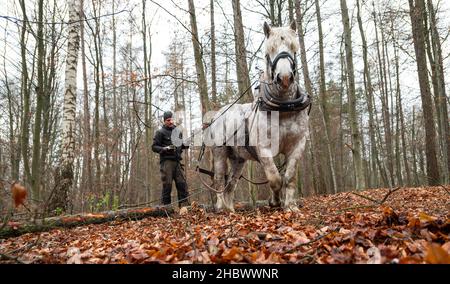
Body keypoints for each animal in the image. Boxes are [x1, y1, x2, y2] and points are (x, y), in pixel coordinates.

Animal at [202, 22, 312, 212]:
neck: (283, 109)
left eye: (294, 49)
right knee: (219, 181)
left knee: (231, 184)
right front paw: (274, 201)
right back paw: (222, 208)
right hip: (219, 153)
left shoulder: (297, 145)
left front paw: (290, 206)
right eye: (269, 51)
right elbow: (275, 178)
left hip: (238, 159)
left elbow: (289, 176)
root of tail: (217, 115)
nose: (284, 78)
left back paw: (231, 211)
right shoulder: (264, 148)